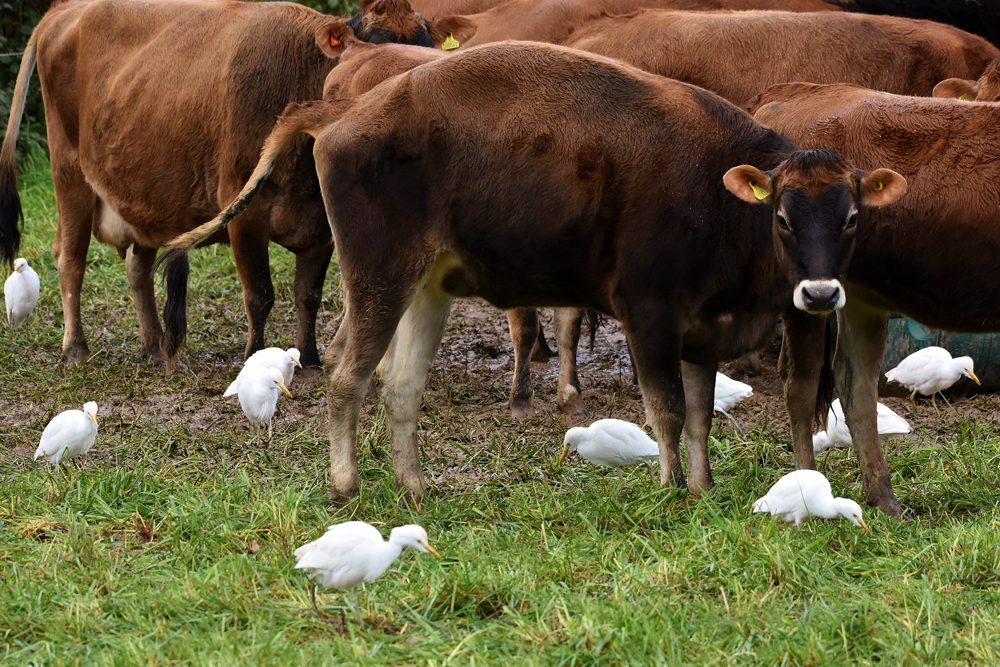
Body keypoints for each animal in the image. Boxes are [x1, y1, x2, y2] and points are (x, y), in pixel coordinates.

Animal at [0, 0, 472, 369]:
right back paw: (76, 349)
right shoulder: (244, 213)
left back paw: (155, 345)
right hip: (68, 172)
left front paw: (311, 358)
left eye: (427, 50)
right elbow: (260, 294)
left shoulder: (321, 226)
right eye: (374, 53)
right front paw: (253, 357)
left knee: (137, 265)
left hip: (141, 188)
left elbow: (308, 295)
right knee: (71, 259)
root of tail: (66, 10)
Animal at [158, 42, 905, 504]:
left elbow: (701, 415)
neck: (718, 194)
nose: (819, 291)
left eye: (850, 218)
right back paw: (347, 485)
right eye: (782, 217)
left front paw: (702, 487)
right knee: (346, 372)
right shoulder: (650, 314)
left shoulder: (704, 329)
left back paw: (414, 486)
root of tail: (349, 111)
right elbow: (666, 409)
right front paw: (671, 491)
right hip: (379, 277)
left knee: (399, 385)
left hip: (423, 287)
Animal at [750, 82, 1000, 517]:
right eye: (783, 219)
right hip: (806, 303)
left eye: (853, 217)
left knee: (855, 384)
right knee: (801, 382)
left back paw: (883, 500)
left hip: (856, 300)